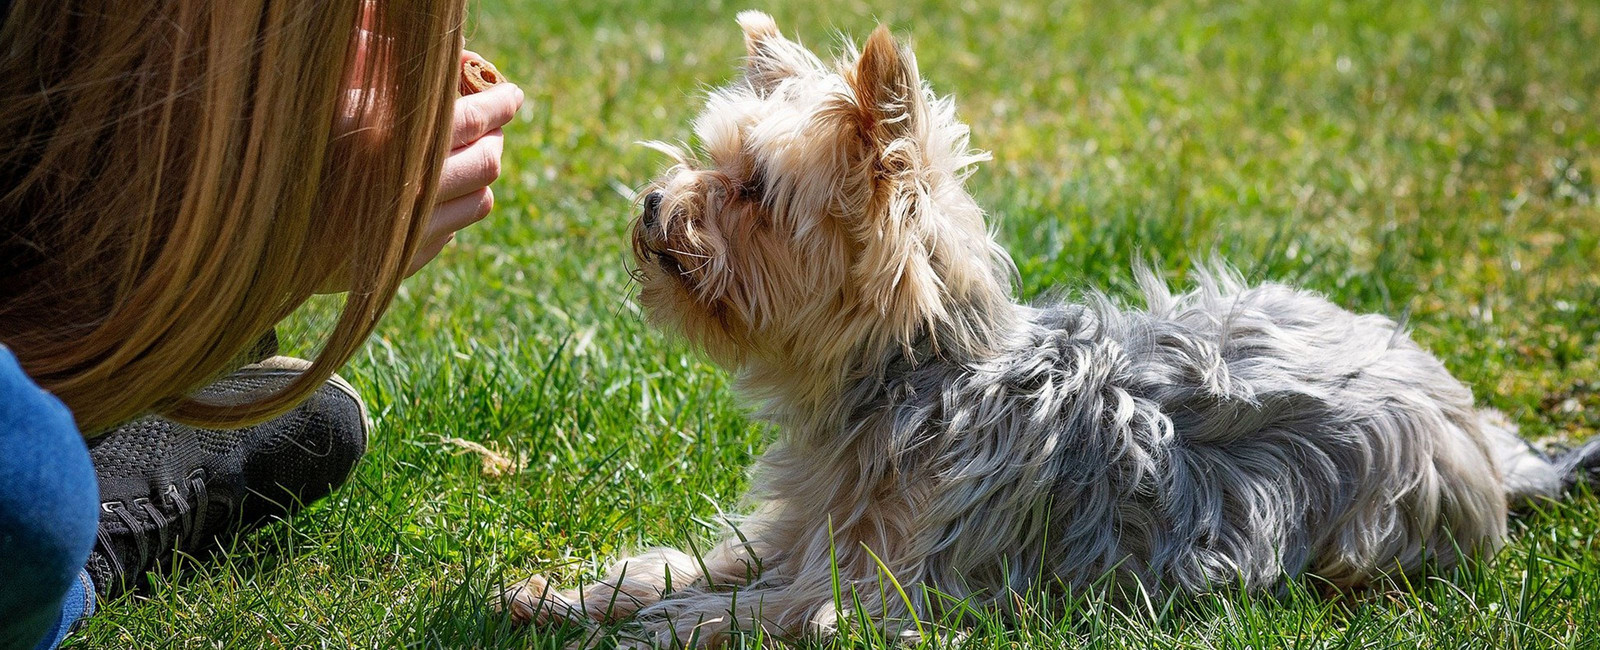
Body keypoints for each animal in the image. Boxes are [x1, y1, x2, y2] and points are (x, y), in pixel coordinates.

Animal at [502, 11, 1600, 650]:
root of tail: (1480, 434)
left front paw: (636, 627)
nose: (653, 202)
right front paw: (568, 593)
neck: (911, 380)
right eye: (705, 159)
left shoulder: (889, 595)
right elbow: (702, 564)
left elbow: (754, 609)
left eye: (753, 191)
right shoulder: (798, 529)